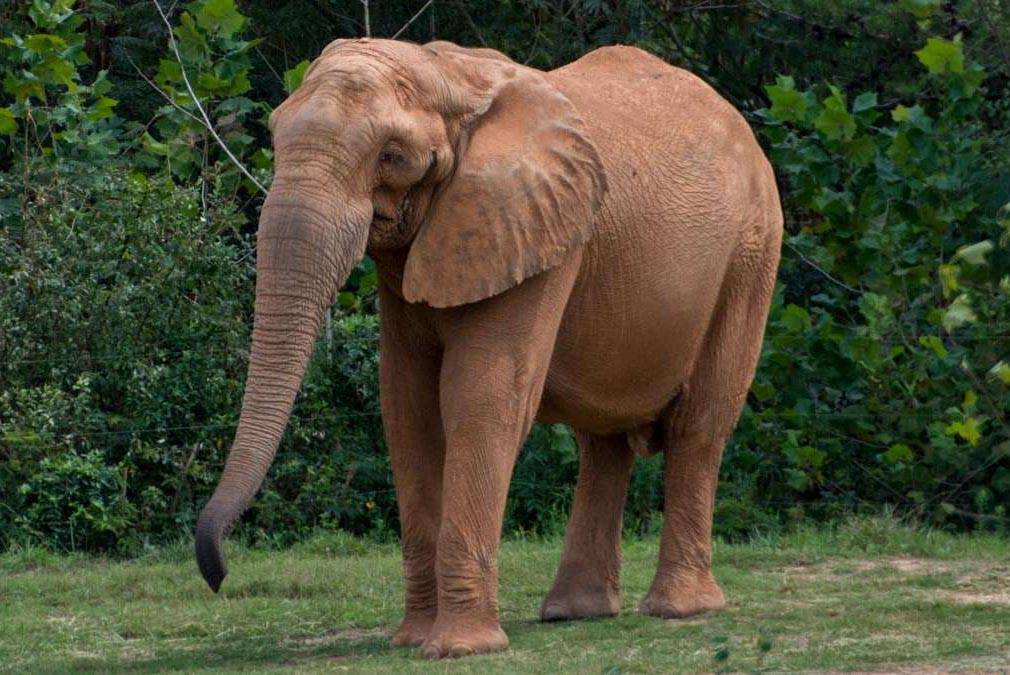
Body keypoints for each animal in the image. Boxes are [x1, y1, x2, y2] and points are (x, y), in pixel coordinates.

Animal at [192, 38, 783, 658]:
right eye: (277, 135)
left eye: (392, 156)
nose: (219, 573)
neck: (450, 77)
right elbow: (407, 410)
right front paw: (413, 640)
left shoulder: (538, 231)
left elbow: (481, 397)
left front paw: (458, 649)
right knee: (601, 443)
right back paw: (575, 612)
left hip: (750, 253)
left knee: (699, 426)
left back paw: (679, 609)